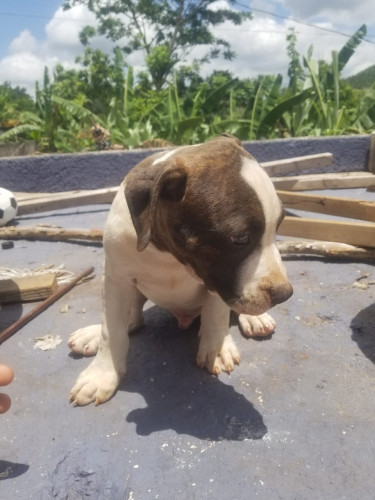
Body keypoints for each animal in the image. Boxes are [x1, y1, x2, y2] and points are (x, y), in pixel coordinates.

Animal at [70, 134, 294, 406]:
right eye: (240, 239)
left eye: (278, 226)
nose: (284, 294)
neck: (168, 255)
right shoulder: (117, 279)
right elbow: (111, 331)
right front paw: (101, 373)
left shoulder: (215, 279)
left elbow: (216, 314)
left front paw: (216, 349)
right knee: (132, 319)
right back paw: (91, 335)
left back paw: (254, 319)